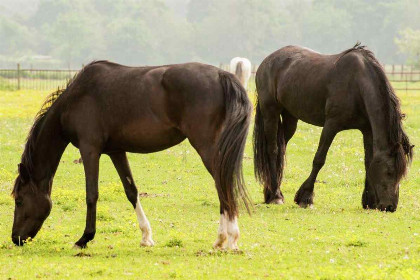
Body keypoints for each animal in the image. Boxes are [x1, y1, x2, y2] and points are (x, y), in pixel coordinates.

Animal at [10, 61, 253, 249]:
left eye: (19, 200)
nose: (16, 238)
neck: (76, 100)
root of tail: (222, 75)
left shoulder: (90, 150)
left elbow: (91, 194)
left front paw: (84, 238)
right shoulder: (116, 151)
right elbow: (131, 191)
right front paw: (146, 237)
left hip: (206, 146)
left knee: (223, 184)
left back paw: (228, 238)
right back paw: (222, 239)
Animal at [253, 43, 414, 210]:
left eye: (401, 174)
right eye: (389, 172)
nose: (390, 207)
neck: (358, 85)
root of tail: (266, 61)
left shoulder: (367, 131)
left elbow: (368, 161)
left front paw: (369, 200)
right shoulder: (331, 125)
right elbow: (319, 159)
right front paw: (306, 197)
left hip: (290, 118)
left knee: (281, 148)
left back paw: (271, 192)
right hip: (270, 112)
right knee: (273, 150)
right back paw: (275, 195)